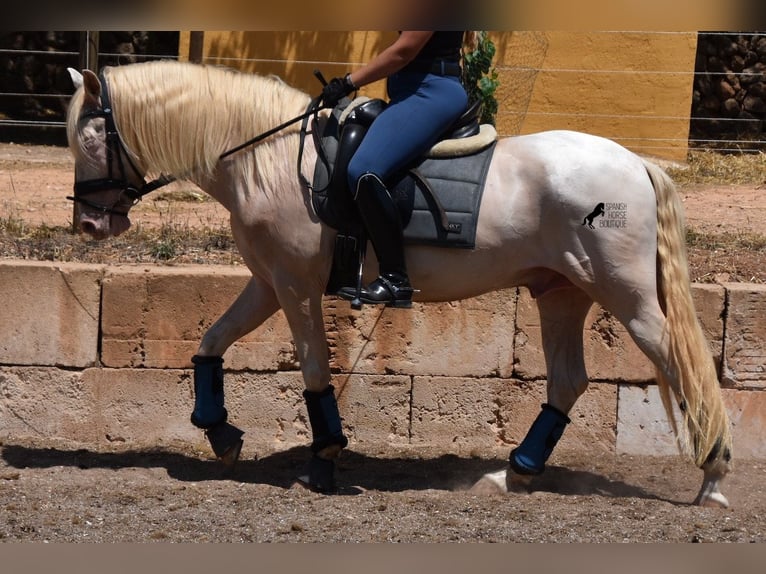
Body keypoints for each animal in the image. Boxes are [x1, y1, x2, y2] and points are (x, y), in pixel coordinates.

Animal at [64, 59, 732, 508]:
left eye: (91, 138)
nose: (90, 224)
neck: (266, 158)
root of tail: (635, 162)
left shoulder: (294, 284)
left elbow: (313, 367)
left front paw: (325, 457)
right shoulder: (267, 281)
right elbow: (209, 343)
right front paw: (220, 431)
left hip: (625, 294)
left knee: (681, 362)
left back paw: (715, 475)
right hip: (562, 291)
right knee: (568, 380)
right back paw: (515, 472)